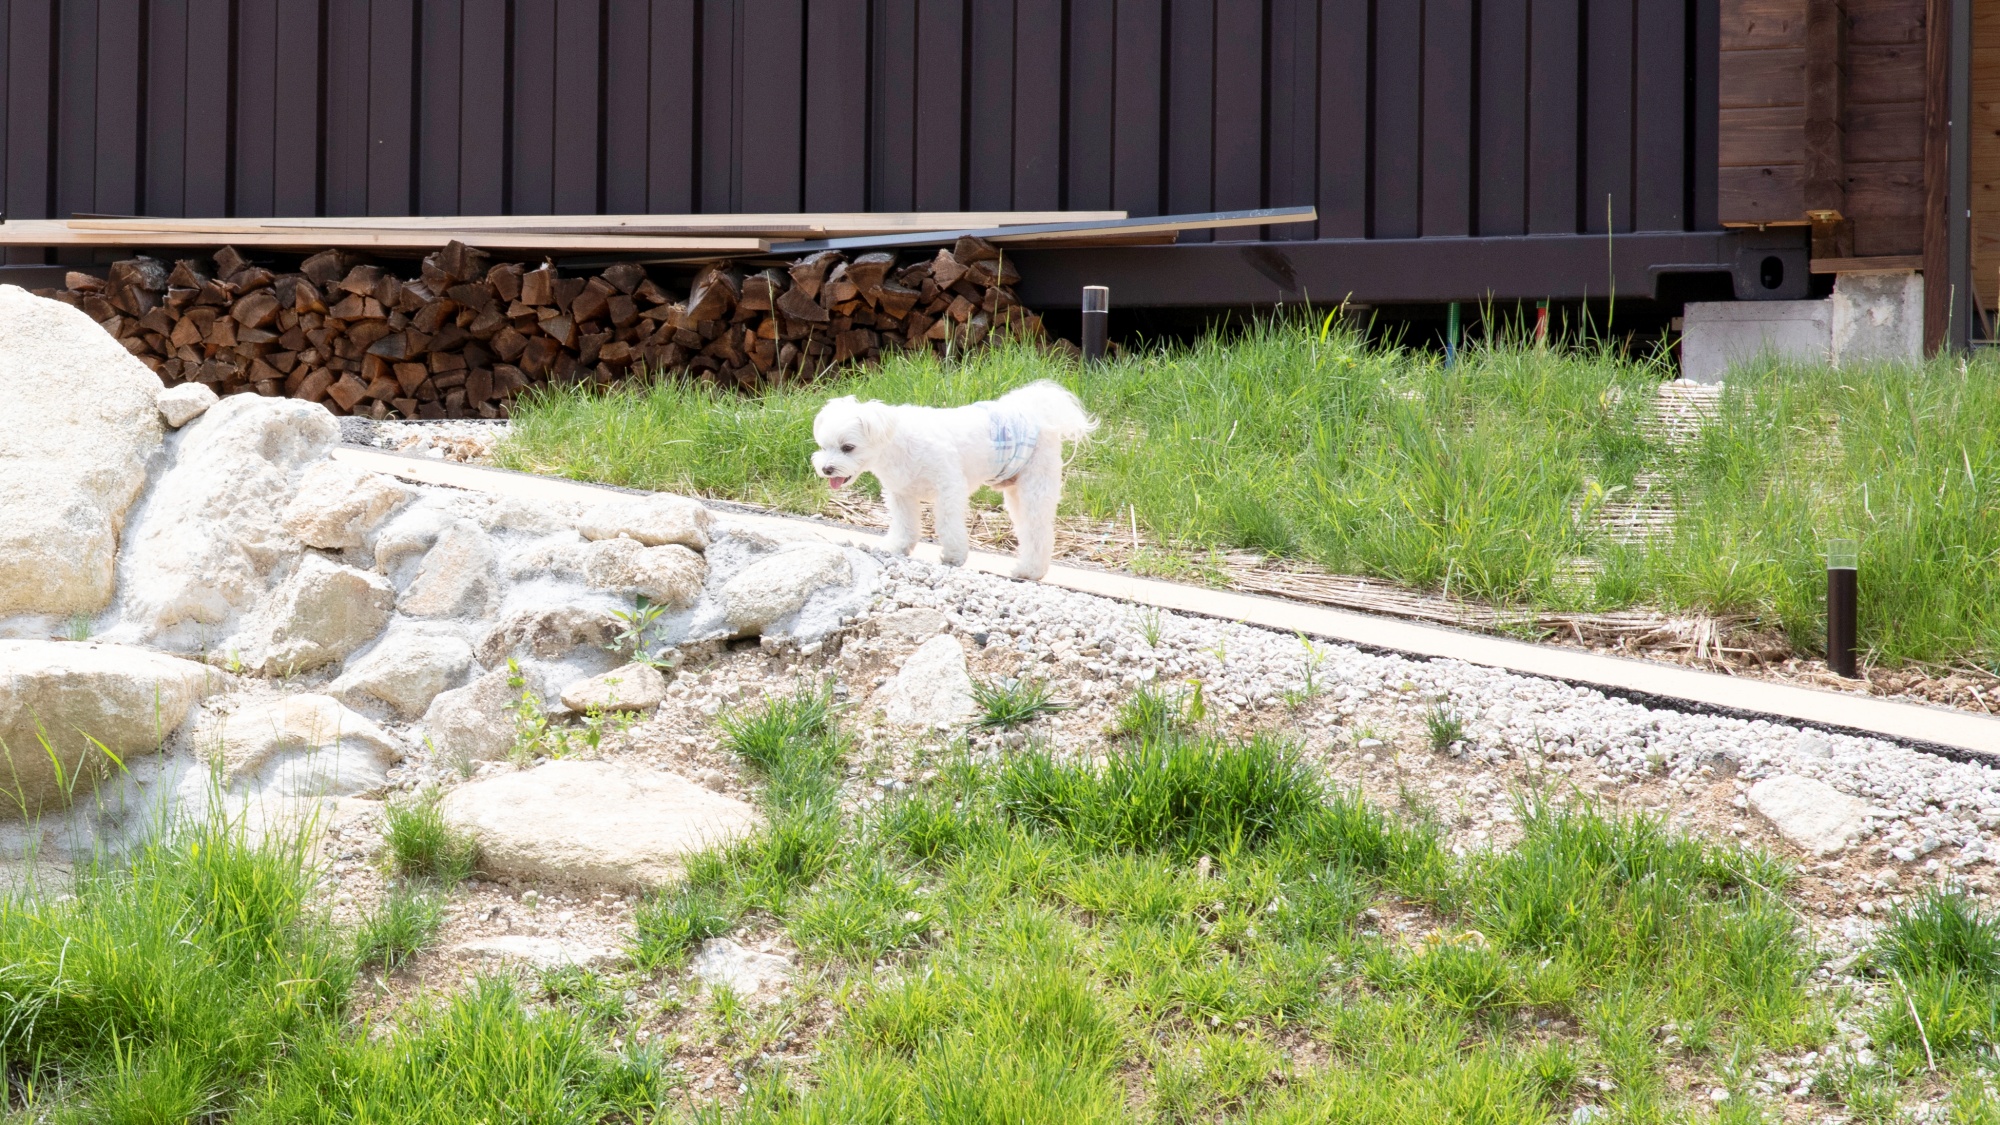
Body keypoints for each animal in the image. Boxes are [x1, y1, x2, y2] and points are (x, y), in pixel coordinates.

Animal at [808, 382, 1096, 576]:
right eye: (823, 446)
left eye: (848, 448)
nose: (827, 469)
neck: (896, 443)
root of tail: (1035, 411)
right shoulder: (901, 494)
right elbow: (904, 526)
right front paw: (896, 547)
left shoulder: (949, 488)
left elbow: (948, 526)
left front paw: (953, 556)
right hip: (1016, 492)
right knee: (1027, 529)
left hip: (1036, 486)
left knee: (1038, 530)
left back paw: (1030, 571)